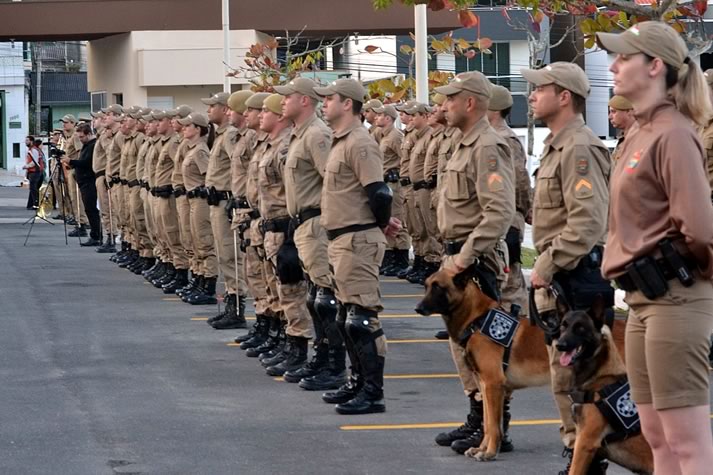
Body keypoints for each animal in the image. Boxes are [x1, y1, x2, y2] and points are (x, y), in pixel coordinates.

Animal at [418, 266, 552, 462]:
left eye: (438, 287)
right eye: (426, 286)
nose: (418, 308)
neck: (477, 321)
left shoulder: (492, 384)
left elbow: (494, 426)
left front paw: (489, 452)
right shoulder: (484, 385)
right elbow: (488, 423)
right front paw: (480, 448)